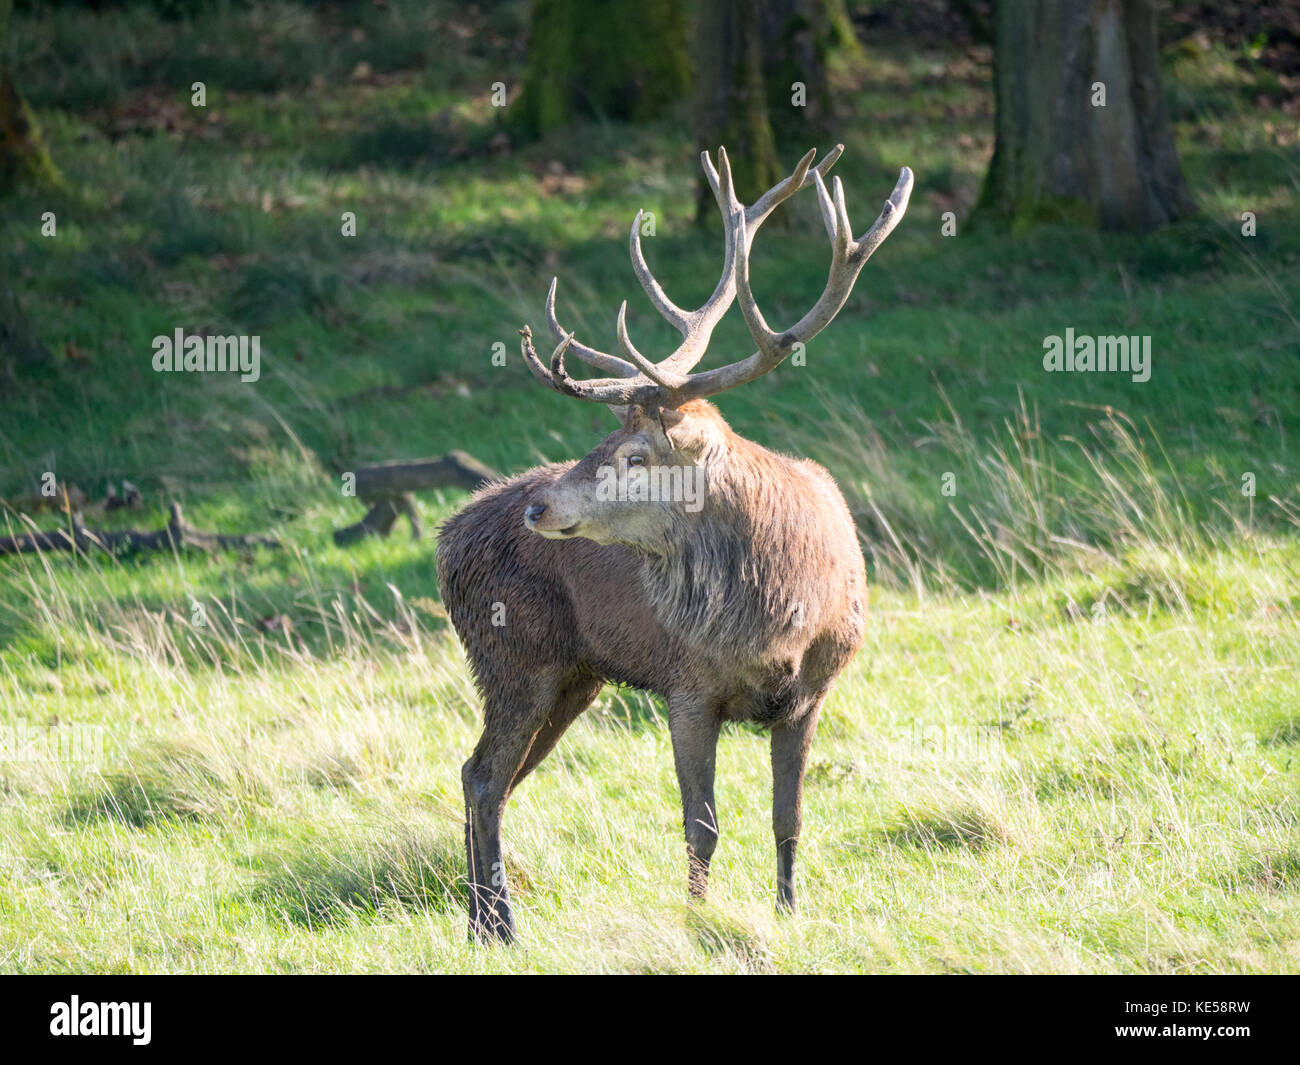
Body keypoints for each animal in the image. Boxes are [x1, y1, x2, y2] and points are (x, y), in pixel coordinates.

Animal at [439, 145, 915, 946]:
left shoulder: (814, 691)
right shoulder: (687, 686)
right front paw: (698, 921)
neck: (781, 617)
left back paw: (482, 924)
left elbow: (790, 817)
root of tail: (445, 541)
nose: (540, 505)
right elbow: (703, 824)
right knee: (482, 774)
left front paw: (789, 914)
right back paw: (499, 925)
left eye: (635, 455)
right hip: (514, 656)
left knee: (491, 777)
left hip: (574, 676)